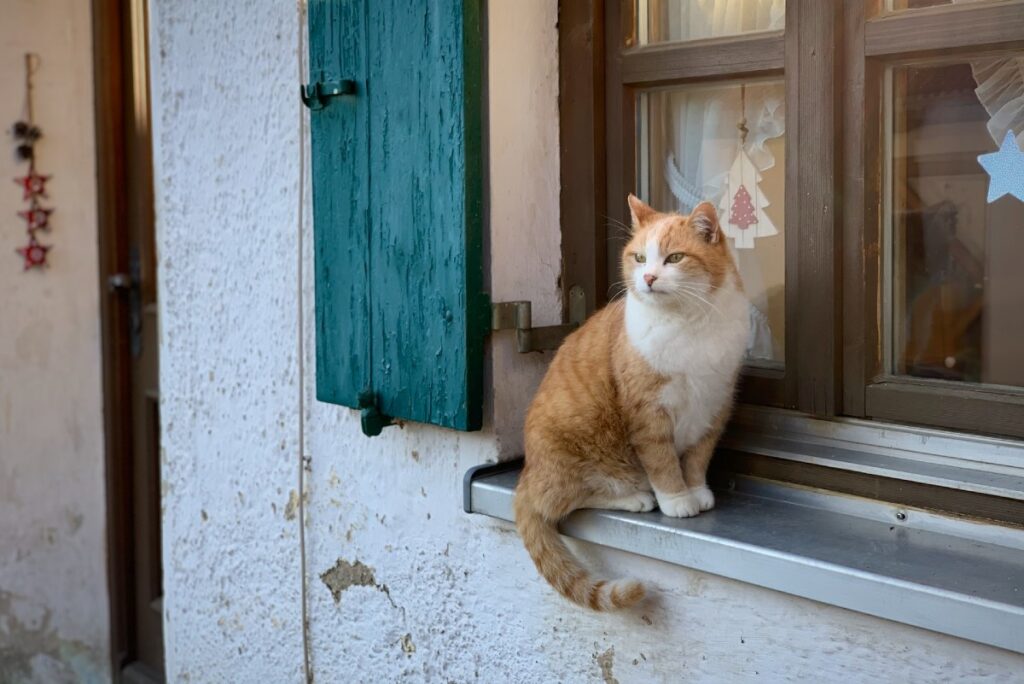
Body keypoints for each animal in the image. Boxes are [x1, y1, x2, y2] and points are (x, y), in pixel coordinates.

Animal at [516, 192, 749, 610]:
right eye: (639, 258)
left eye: (674, 258)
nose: (649, 278)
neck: (688, 324)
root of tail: (526, 477)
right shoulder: (648, 412)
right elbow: (662, 461)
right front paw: (677, 499)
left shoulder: (715, 404)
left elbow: (698, 457)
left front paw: (697, 490)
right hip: (577, 454)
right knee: (559, 503)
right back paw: (635, 498)